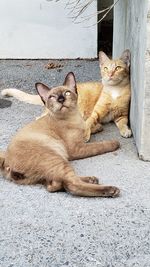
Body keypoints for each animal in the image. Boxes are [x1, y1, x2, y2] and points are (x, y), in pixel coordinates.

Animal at [0, 50, 131, 140]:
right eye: (105, 68)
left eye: (118, 68)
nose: (110, 74)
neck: (115, 90)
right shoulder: (95, 112)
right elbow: (88, 122)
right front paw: (86, 133)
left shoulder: (122, 115)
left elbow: (123, 123)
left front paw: (126, 130)